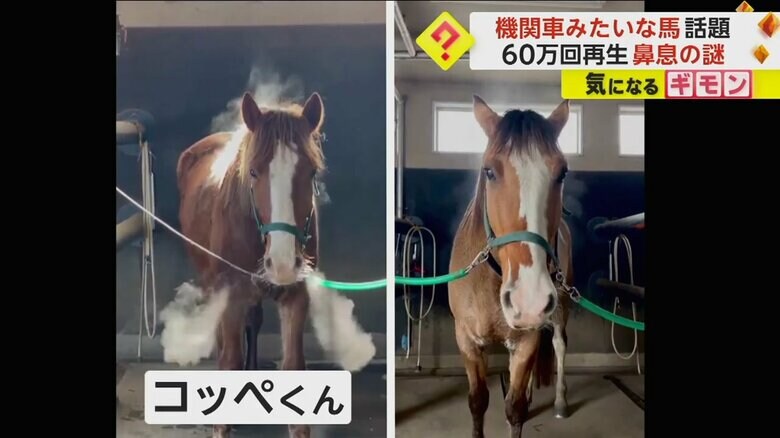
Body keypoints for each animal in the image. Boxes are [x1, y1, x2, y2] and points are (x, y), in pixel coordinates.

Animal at [176, 91, 326, 438]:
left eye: (312, 172)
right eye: (254, 172)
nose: (282, 263)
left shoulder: (296, 295)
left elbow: (294, 364)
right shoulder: (229, 292)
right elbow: (229, 358)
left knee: (253, 321)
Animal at [448, 96, 575, 438]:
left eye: (562, 173)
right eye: (489, 171)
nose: (528, 300)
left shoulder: (526, 339)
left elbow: (515, 409)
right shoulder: (466, 339)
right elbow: (478, 401)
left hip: (561, 305)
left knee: (559, 344)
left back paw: (560, 401)